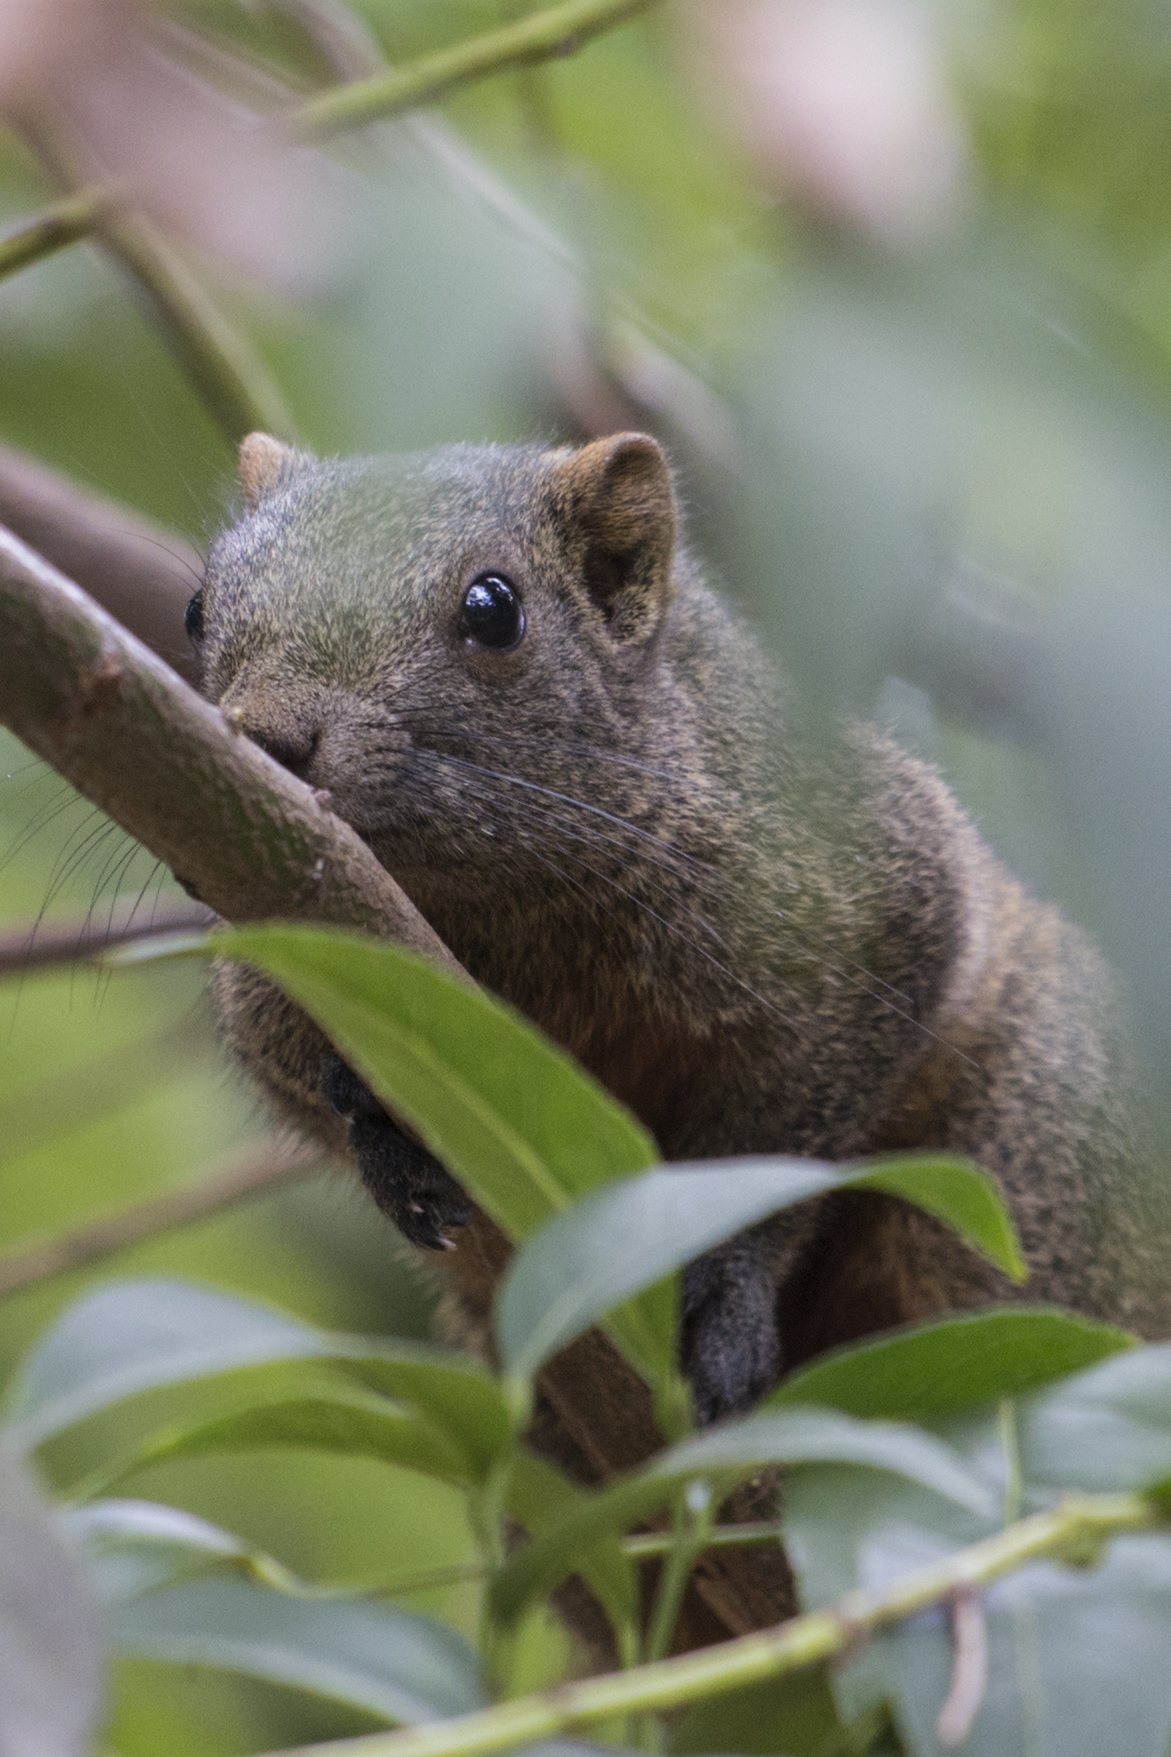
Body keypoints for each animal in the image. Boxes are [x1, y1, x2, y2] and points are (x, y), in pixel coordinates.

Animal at [187, 425, 1167, 1426]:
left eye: (494, 608)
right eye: (196, 607)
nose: (268, 735)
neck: (496, 914)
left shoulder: (871, 895)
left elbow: (791, 1128)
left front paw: (726, 1290)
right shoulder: (267, 957)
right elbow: (290, 1074)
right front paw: (379, 1133)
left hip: (1032, 1156)